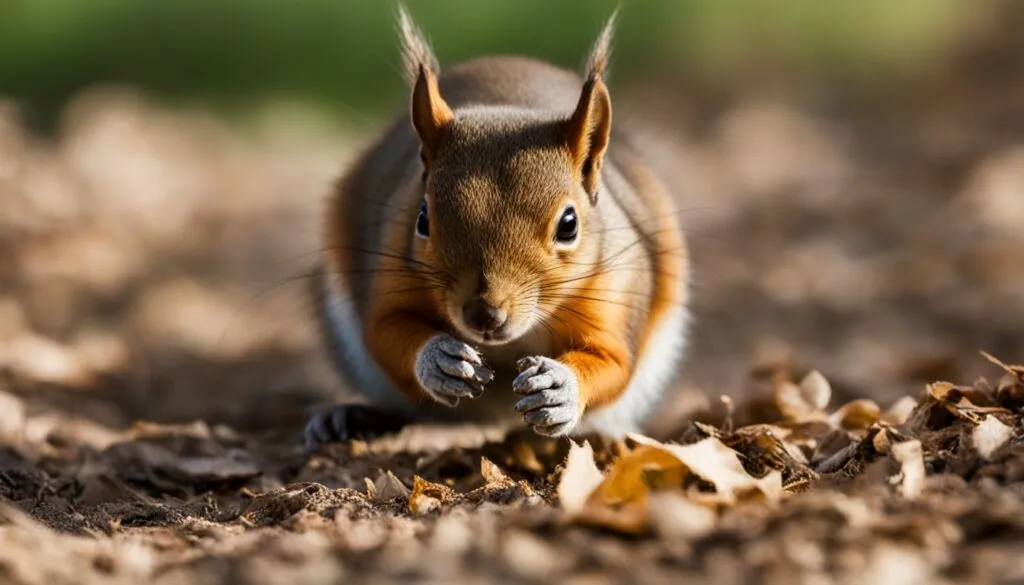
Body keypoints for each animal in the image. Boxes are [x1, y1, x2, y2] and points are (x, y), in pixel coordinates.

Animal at [305, 5, 690, 450]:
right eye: (423, 219)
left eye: (569, 225)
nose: (483, 314)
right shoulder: (392, 268)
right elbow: (385, 331)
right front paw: (439, 359)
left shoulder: (618, 286)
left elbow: (614, 361)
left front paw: (560, 388)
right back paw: (348, 418)